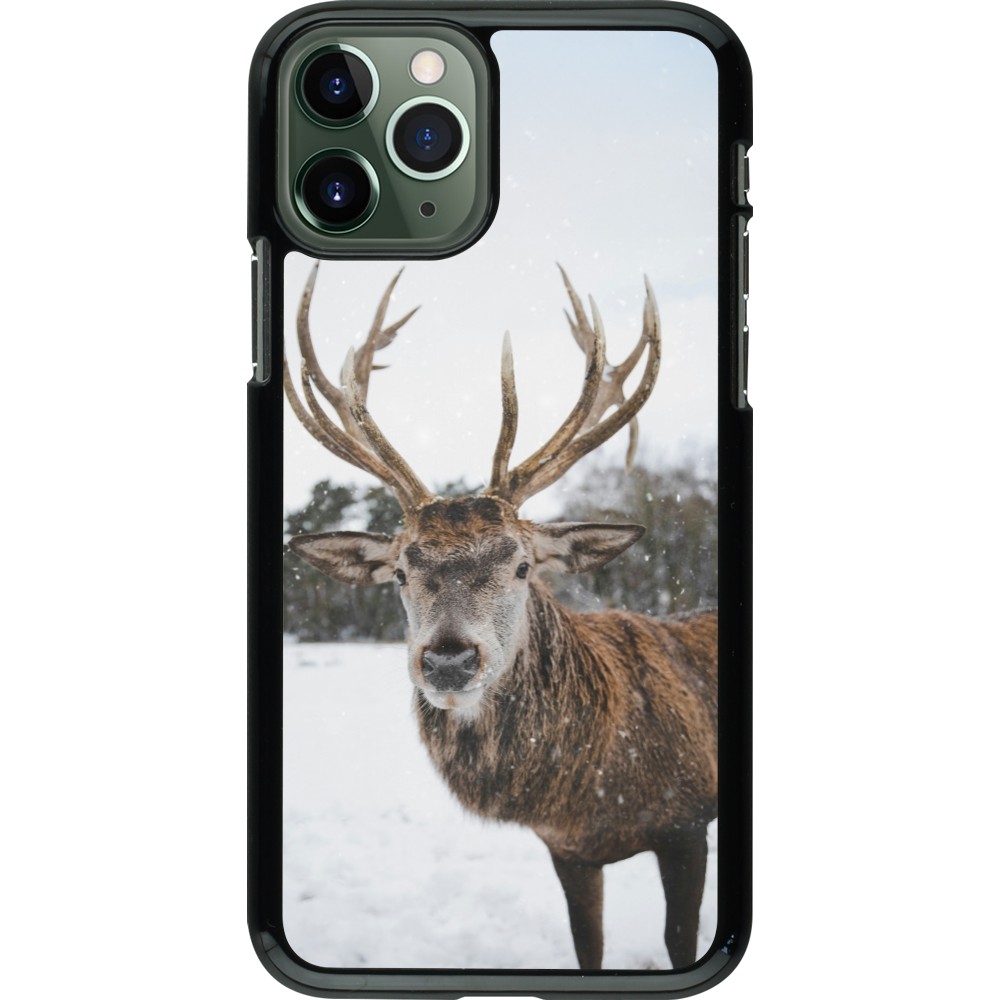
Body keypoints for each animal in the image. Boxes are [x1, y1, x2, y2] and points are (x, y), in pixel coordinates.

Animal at [283, 263, 718, 971]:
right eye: (400, 573)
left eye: (521, 565)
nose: (448, 659)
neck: (593, 791)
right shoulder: (567, 850)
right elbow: (587, 946)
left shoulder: (687, 822)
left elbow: (681, 939)